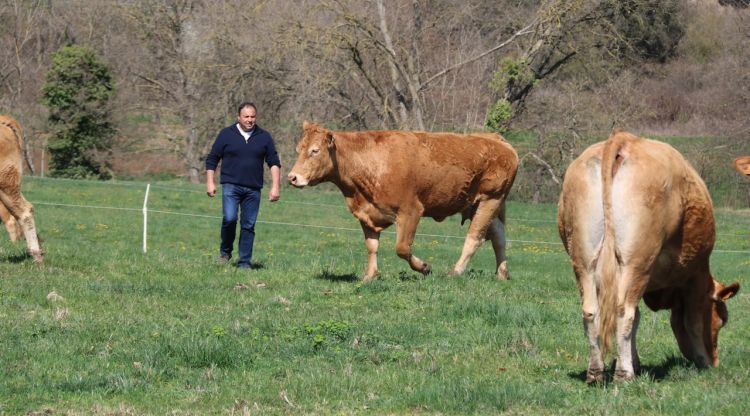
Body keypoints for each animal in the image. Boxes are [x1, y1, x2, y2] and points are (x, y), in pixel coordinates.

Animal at [288, 122, 516, 282]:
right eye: (298, 149)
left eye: (315, 150)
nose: (292, 177)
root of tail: (496, 139)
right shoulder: (367, 214)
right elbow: (372, 246)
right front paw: (370, 276)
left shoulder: (411, 211)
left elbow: (402, 248)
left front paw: (425, 267)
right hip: (481, 204)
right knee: (499, 236)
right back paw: (501, 273)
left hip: (490, 199)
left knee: (475, 238)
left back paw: (456, 271)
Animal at [560, 129, 740, 384]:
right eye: (721, 320)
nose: (715, 361)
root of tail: (623, 139)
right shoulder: (695, 277)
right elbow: (692, 322)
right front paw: (702, 362)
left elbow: (639, 319)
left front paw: (635, 361)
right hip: (636, 262)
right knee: (623, 311)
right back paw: (624, 375)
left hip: (584, 262)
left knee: (591, 312)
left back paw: (595, 372)